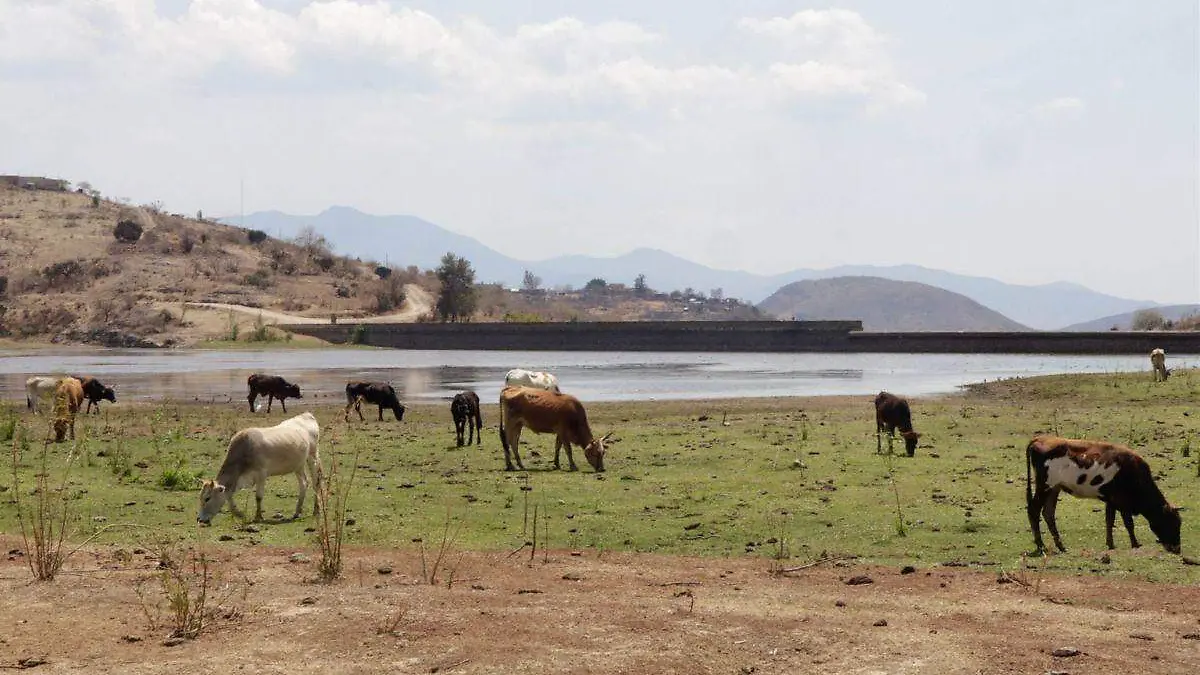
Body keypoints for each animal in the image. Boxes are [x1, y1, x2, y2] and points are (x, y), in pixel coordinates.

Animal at [1022, 432, 1180, 554]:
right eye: (1172, 522)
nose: (1177, 549)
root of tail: (1040, 439)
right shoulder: (1122, 502)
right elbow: (1129, 523)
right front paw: (1135, 544)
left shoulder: (1111, 500)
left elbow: (1109, 521)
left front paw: (1111, 544)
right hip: (1045, 486)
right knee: (1034, 510)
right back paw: (1041, 545)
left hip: (1054, 488)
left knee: (1048, 513)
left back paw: (1061, 546)